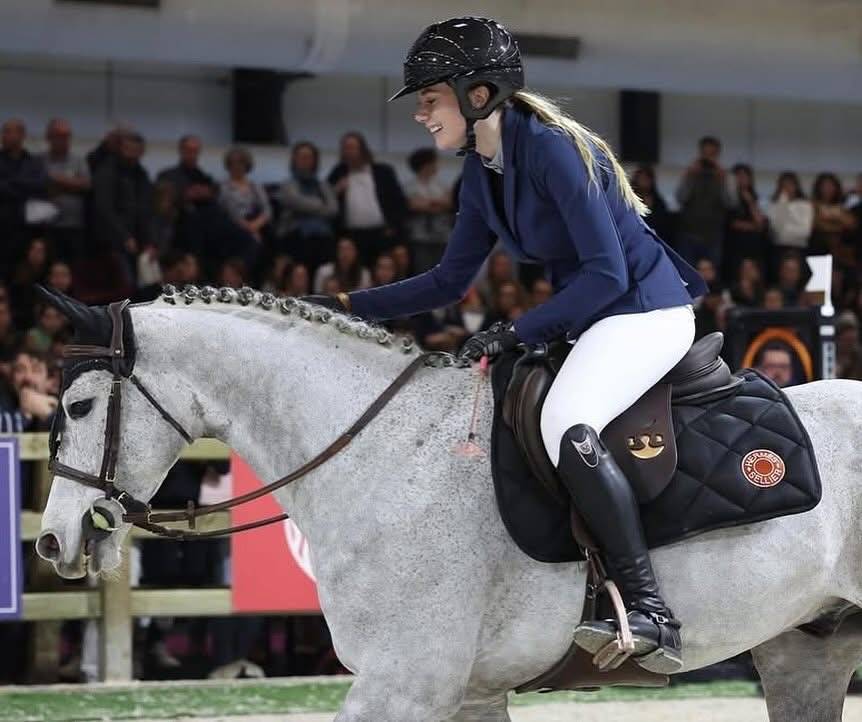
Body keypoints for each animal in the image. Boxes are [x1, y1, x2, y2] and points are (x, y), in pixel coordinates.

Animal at [36, 286, 862, 721]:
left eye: (78, 406)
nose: (52, 541)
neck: (383, 452)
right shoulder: (464, 692)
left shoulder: (405, 681)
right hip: (803, 653)